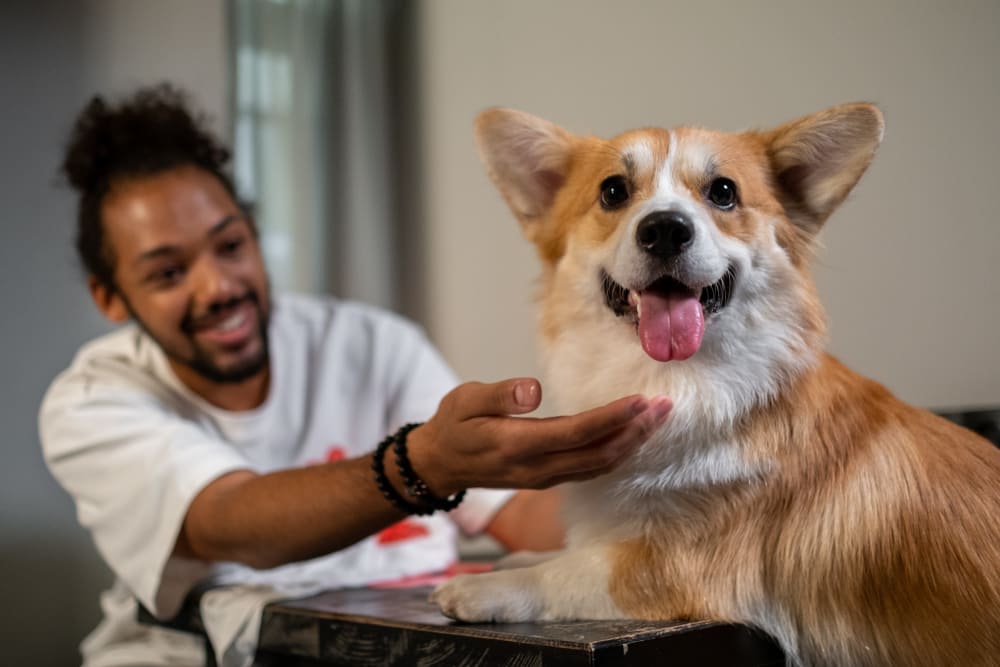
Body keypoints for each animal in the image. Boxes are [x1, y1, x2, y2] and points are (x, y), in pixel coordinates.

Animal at [432, 105, 1000, 667]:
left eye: (723, 191)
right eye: (613, 191)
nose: (665, 229)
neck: (678, 380)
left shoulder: (679, 569)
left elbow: (571, 570)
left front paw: (485, 587)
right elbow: (575, 549)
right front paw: (516, 557)